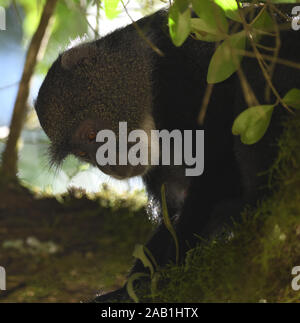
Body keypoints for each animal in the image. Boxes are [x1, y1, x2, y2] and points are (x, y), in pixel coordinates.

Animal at [34, 3, 300, 302]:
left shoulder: (180, 76)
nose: (109, 166)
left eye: (92, 135)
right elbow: (173, 209)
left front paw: (165, 275)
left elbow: (218, 166)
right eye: (82, 153)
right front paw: (128, 288)